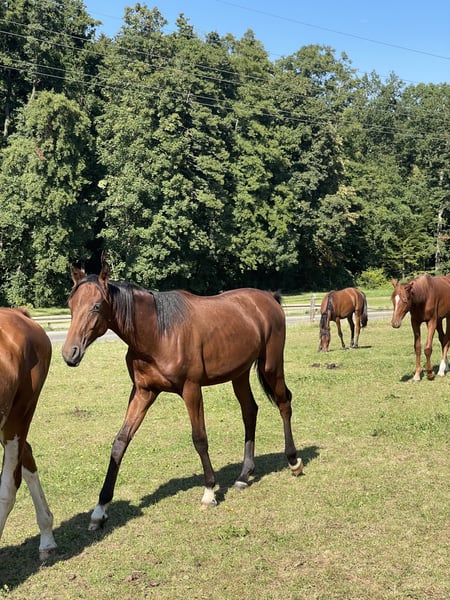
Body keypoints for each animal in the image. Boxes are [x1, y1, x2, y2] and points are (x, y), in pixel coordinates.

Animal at [62, 257, 303, 531]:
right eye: (71, 304)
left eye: (96, 306)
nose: (70, 353)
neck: (158, 332)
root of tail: (268, 298)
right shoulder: (143, 392)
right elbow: (120, 443)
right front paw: (100, 509)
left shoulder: (191, 389)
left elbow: (199, 438)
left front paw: (209, 491)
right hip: (239, 374)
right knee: (250, 411)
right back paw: (244, 475)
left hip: (272, 366)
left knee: (284, 403)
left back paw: (293, 461)